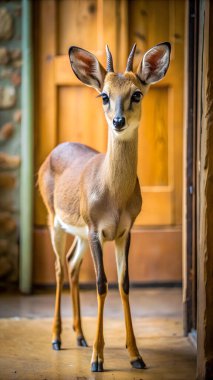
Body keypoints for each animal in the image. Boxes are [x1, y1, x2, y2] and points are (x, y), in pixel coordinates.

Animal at [38, 41, 171, 372]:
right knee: (58, 268)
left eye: (136, 93)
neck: (114, 196)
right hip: (54, 221)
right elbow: (100, 284)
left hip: (80, 234)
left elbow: (124, 284)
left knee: (72, 265)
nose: (118, 121)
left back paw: (80, 336)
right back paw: (57, 339)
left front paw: (136, 355)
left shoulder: (124, 232)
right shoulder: (97, 230)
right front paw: (97, 360)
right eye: (105, 95)